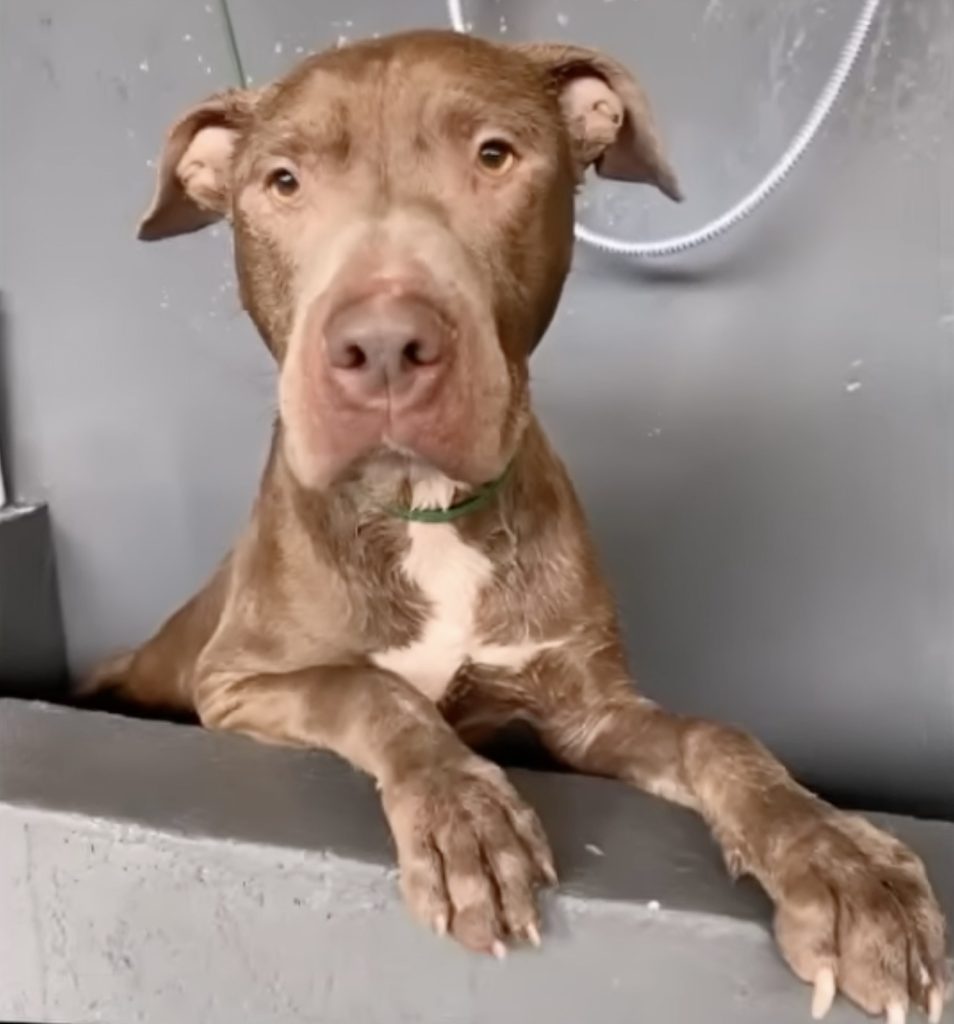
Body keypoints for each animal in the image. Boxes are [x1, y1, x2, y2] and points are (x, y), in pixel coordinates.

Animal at [89, 30, 947, 1022]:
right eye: (284, 181)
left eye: (494, 155)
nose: (384, 344)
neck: (425, 509)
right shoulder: (239, 684)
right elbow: (369, 688)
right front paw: (463, 815)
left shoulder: (589, 710)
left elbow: (720, 738)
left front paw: (841, 864)